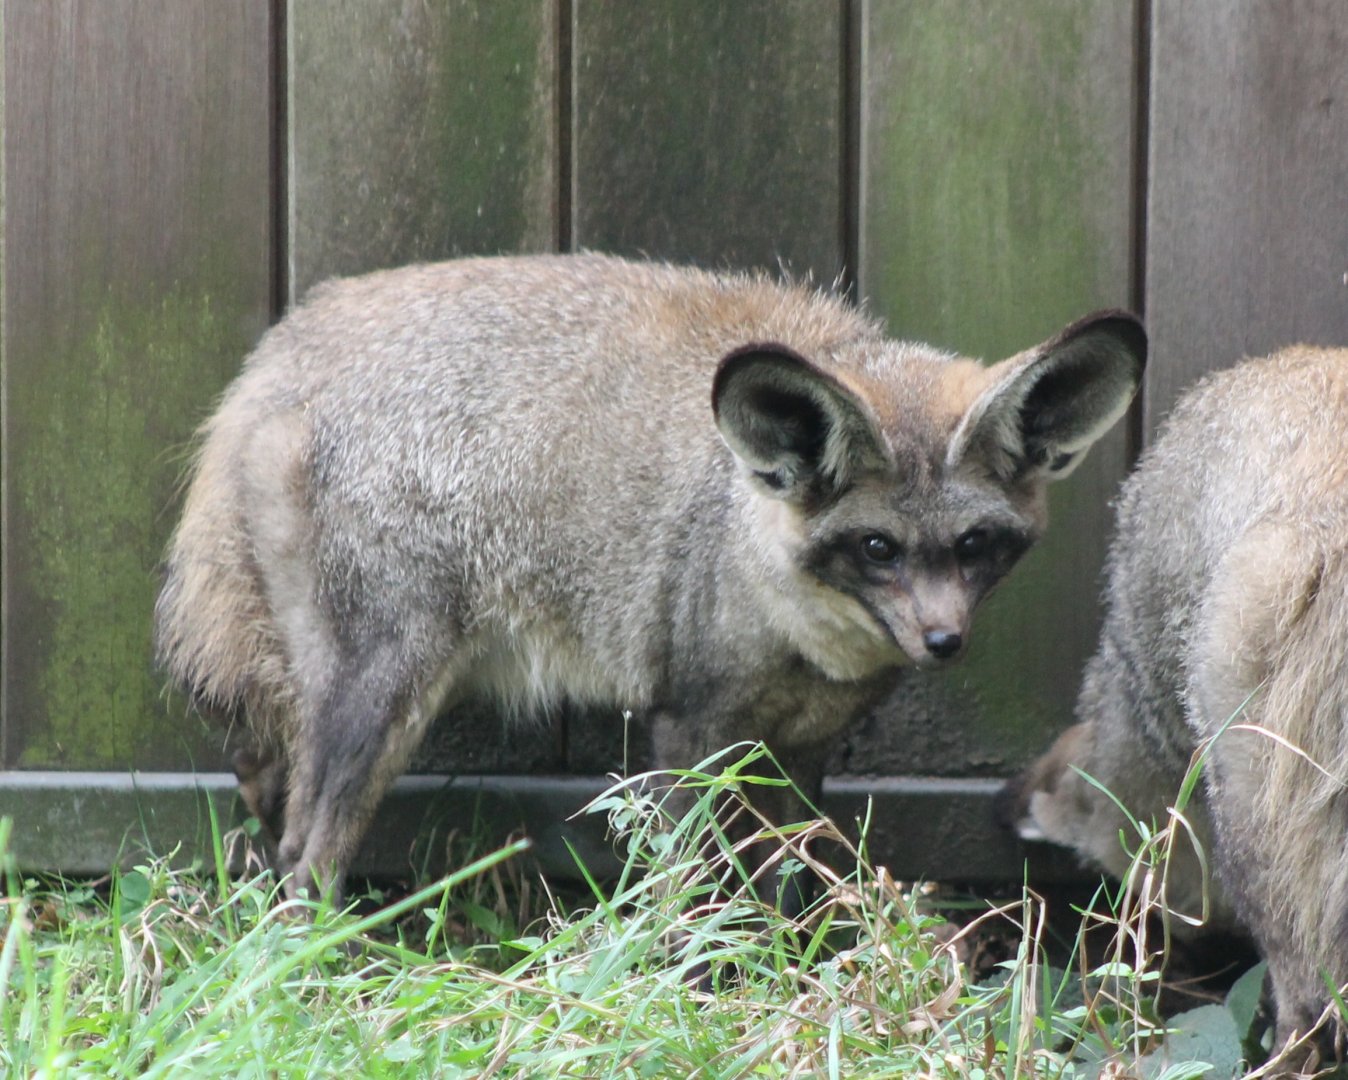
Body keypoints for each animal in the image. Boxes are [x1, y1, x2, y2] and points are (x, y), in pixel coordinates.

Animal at [154, 252, 1145, 904]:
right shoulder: (686, 727)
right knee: (305, 855)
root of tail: (284, 352)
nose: (944, 642)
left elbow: (784, 887)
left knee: (273, 817)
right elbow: (687, 894)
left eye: (976, 546)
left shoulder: (802, 749)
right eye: (877, 549)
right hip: (378, 702)